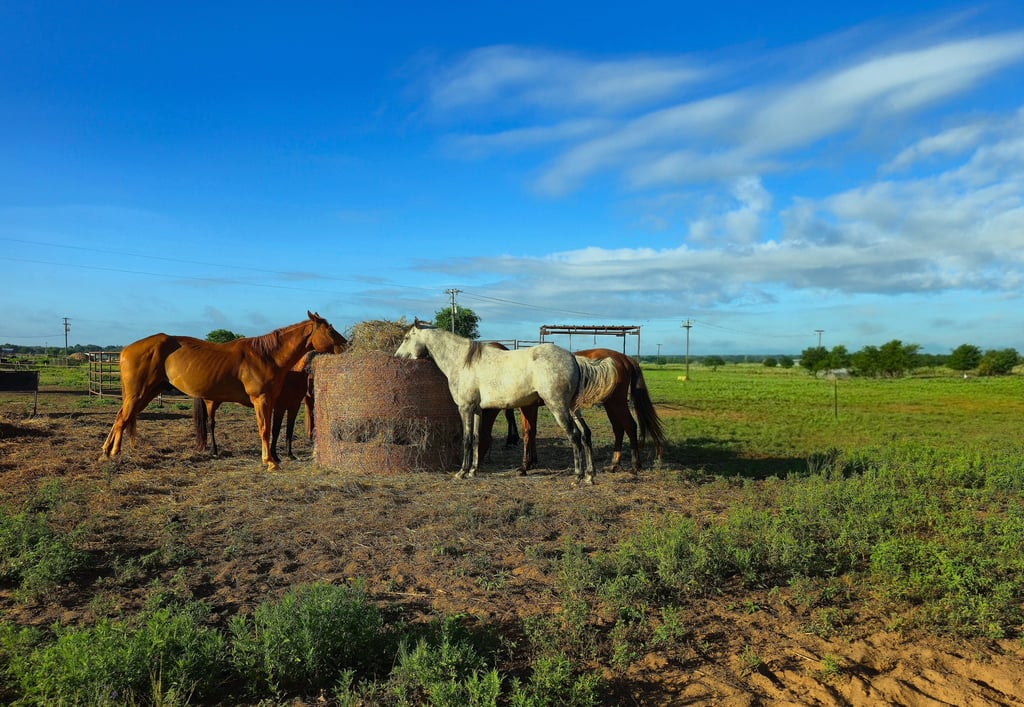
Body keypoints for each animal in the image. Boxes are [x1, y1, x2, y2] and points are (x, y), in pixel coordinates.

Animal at [102, 311, 347, 470]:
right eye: (330, 330)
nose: (346, 344)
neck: (267, 355)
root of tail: (125, 350)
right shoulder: (262, 400)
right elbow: (265, 430)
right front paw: (269, 461)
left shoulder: (273, 402)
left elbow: (272, 430)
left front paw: (274, 458)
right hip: (138, 394)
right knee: (122, 419)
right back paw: (112, 453)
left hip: (145, 394)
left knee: (121, 417)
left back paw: (107, 452)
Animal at [394, 323, 618, 485]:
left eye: (406, 338)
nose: (397, 356)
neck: (463, 361)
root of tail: (572, 357)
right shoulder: (477, 410)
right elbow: (476, 438)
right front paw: (473, 471)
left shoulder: (465, 408)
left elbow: (466, 439)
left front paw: (461, 472)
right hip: (572, 408)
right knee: (586, 434)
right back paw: (590, 476)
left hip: (558, 407)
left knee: (575, 436)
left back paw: (578, 477)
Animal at [487, 348, 666, 474]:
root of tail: (625, 358)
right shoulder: (530, 407)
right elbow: (532, 432)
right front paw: (531, 462)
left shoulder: (527, 407)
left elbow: (527, 433)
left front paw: (524, 466)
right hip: (610, 404)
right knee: (618, 429)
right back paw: (614, 465)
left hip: (616, 402)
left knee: (630, 426)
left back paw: (635, 466)